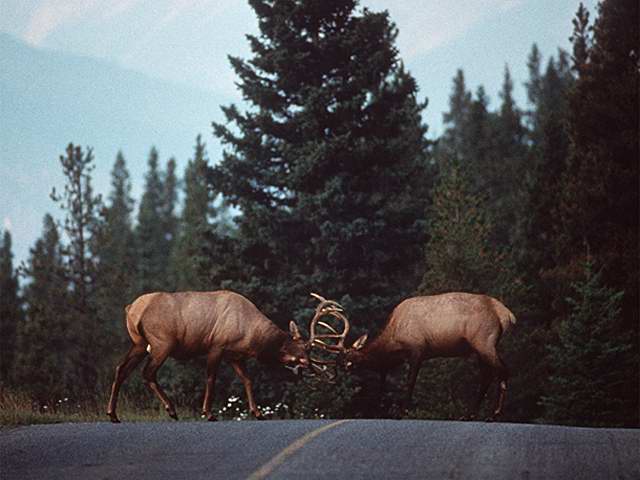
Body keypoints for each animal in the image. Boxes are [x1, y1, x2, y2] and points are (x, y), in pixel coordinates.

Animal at [106, 290, 311, 423]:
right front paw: (208, 413)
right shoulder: (216, 346)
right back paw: (171, 410)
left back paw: (113, 414)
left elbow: (247, 380)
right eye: (301, 353)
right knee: (147, 373)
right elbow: (211, 379)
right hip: (162, 343)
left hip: (139, 343)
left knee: (121, 368)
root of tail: (131, 309)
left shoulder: (234, 356)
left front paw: (258, 413)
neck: (252, 339)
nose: (309, 366)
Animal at [310, 292, 516, 421]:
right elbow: (382, 384)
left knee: (503, 371)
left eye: (347, 356)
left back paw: (494, 414)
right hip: (481, 348)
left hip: (484, 341)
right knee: (487, 375)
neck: (393, 339)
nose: (345, 367)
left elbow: (409, 383)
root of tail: (506, 315)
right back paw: (470, 414)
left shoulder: (417, 350)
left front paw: (403, 411)